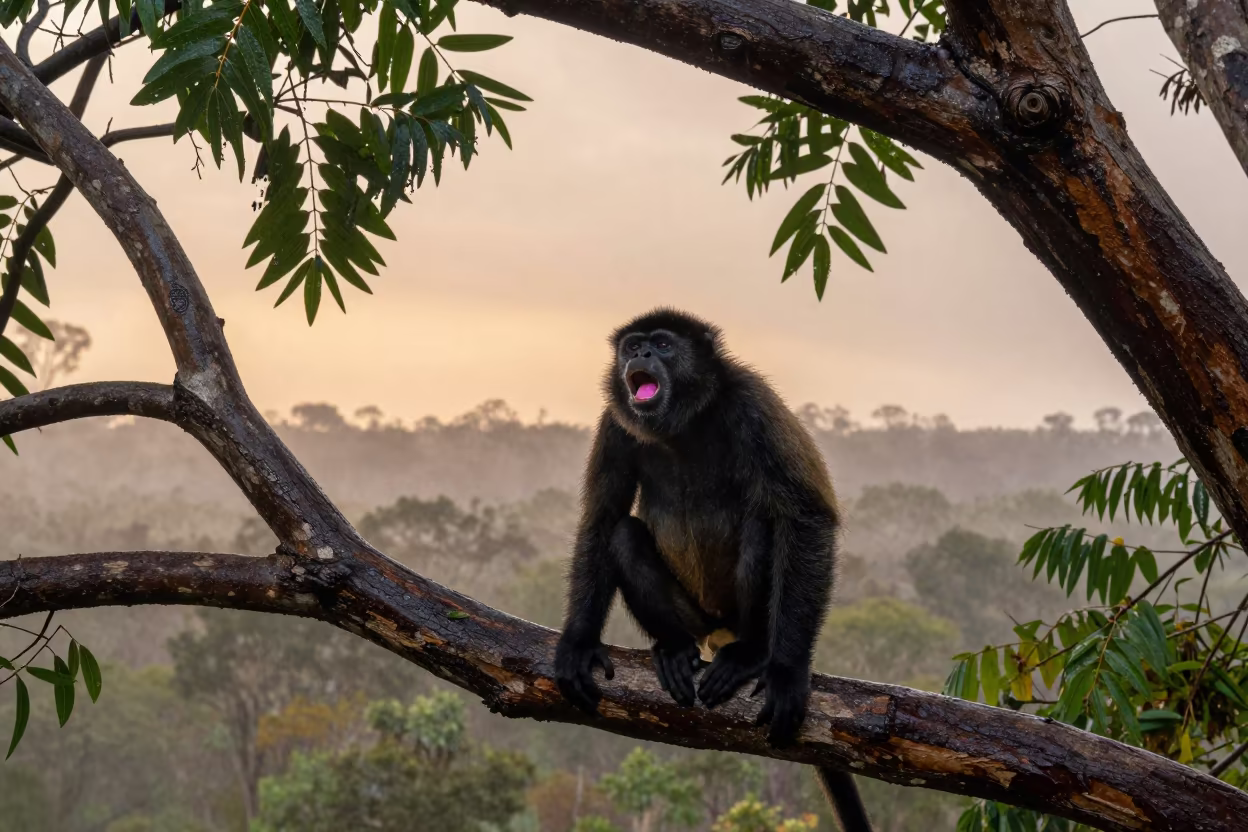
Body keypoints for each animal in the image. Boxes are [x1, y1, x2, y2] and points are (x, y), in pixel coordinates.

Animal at [553, 308, 873, 832]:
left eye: (664, 345)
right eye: (632, 346)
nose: (642, 354)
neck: (683, 424)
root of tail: (718, 628)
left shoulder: (752, 404)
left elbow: (806, 517)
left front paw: (787, 671)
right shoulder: (615, 425)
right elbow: (602, 519)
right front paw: (579, 641)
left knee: (765, 526)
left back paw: (751, 653)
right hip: (694, 615)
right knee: (624, 534)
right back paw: (674, 648)